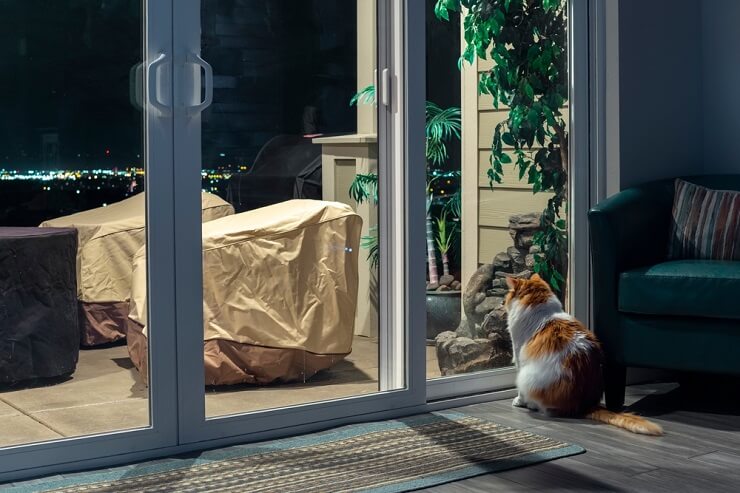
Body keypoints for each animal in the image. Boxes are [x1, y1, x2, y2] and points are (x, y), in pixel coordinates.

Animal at [506, 272, 660, 434]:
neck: (541, 310)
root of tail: (585, 405)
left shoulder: (518, 356)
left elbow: (520, 391)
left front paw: (519, 401)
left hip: (527, 376)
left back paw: (532, 405)